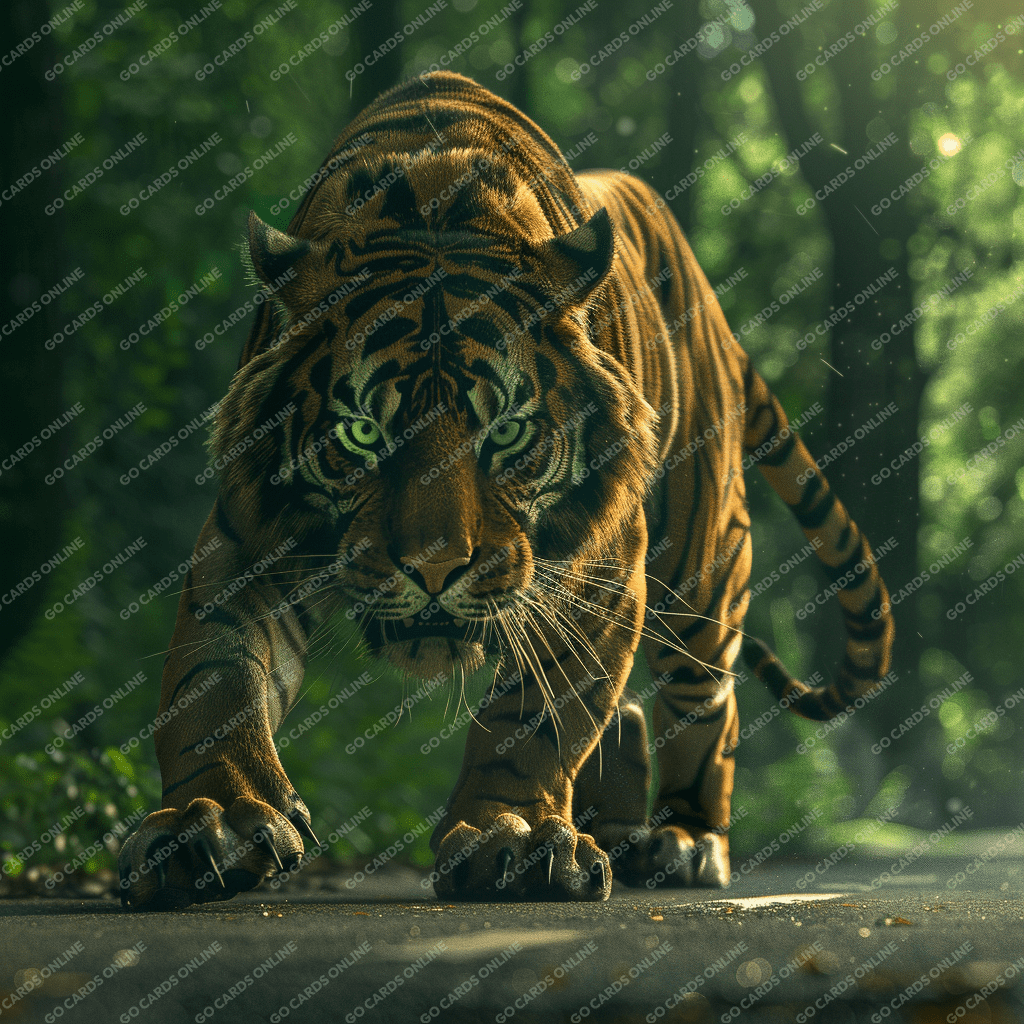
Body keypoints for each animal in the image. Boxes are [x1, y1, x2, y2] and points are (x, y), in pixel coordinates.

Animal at [118, 70, 894, 909]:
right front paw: (212, 822)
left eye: (509, 435)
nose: (433, 570)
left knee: (705, 706)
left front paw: (510, 838)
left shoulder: (599, 565)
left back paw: (686, 842)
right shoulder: (245, 541)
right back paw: (622, 832)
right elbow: (213, 682)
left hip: (702, 574)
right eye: (361, 435)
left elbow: (537, 718)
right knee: (627, 712)